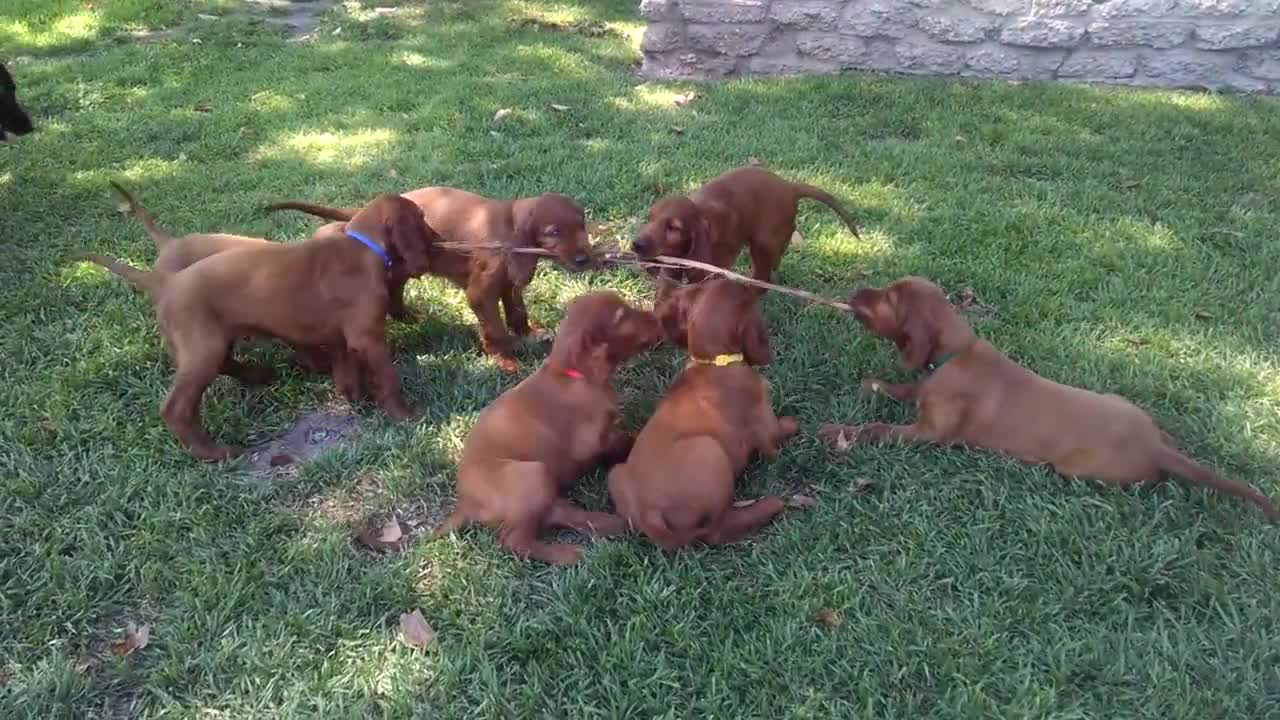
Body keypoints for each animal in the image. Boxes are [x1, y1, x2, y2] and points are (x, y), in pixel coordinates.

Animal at [85, 190, 437, 458]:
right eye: (421, 217)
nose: (438, 239)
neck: (362, 244)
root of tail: (165, 282)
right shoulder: (367, 335)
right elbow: (388, 377)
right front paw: (404, 414)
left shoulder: (342, 336)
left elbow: (346, 369)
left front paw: (356, 395)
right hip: (202, 347)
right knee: (176, 408)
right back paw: (213, 452)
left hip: (212, 340)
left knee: (224, 364)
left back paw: (259, 376)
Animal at [437, 288, 665, 563]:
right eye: (622, 315)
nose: (658, 316)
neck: (573, 374)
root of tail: (465, 503)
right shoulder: (593, 441)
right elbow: (625, 440)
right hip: (532, 474)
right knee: (515, 541)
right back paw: (568, 553)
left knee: (553, 512)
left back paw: (607, 523)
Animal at [606, 278, 798, 545]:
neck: (713, 361)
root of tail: (649, 514)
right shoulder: (767, 429)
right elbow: (783, 432)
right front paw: (793, 422)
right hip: (711, 450)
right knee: (716, 529)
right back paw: (768, 506)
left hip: (615, 472)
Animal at [819, 275, 1280, 520]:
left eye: (889, 298)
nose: (856, 292)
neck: (955, 354)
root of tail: (1154, 445)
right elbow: (903, 388)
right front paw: (872, 385)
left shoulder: (929, 433)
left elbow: (878, 427)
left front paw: (836, 430)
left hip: (1075, 468)